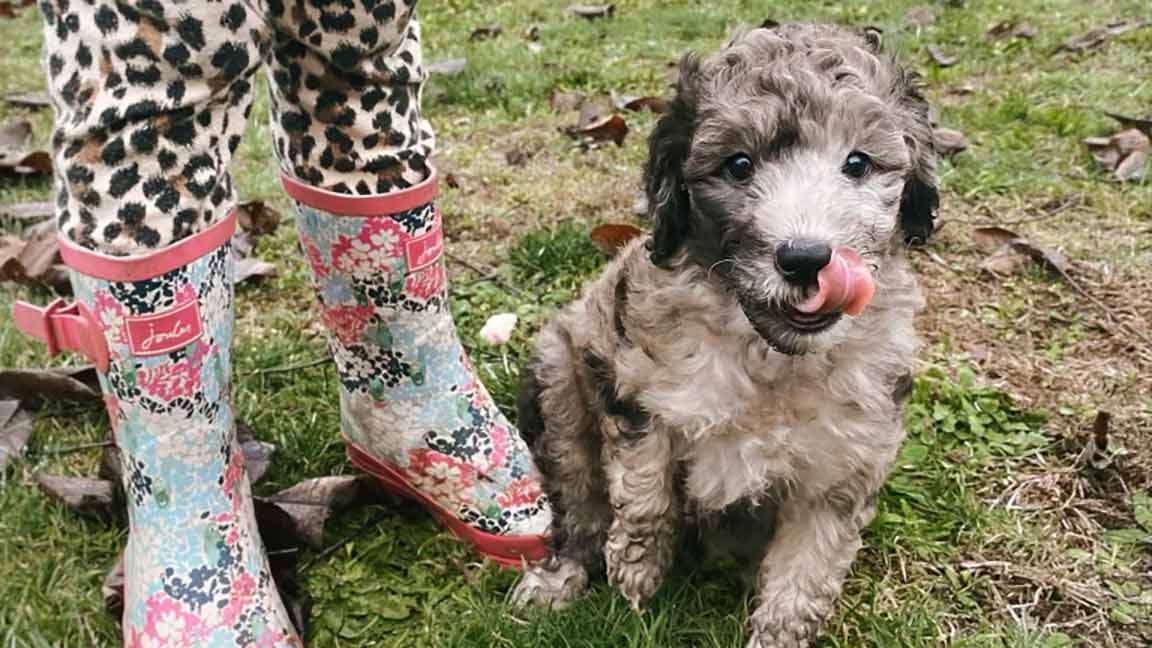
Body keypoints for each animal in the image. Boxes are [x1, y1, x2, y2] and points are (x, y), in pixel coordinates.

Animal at [513, 22, 935, 641]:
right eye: (738, 165)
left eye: (857, 163)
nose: (806, 258)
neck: (769, 355)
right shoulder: (631, 380)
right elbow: (643, 487)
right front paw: (637, 567)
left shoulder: (843, 464)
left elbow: (805, 571)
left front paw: (777, 633)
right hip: (558, 377)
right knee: (577, 495)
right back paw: (558, 577)